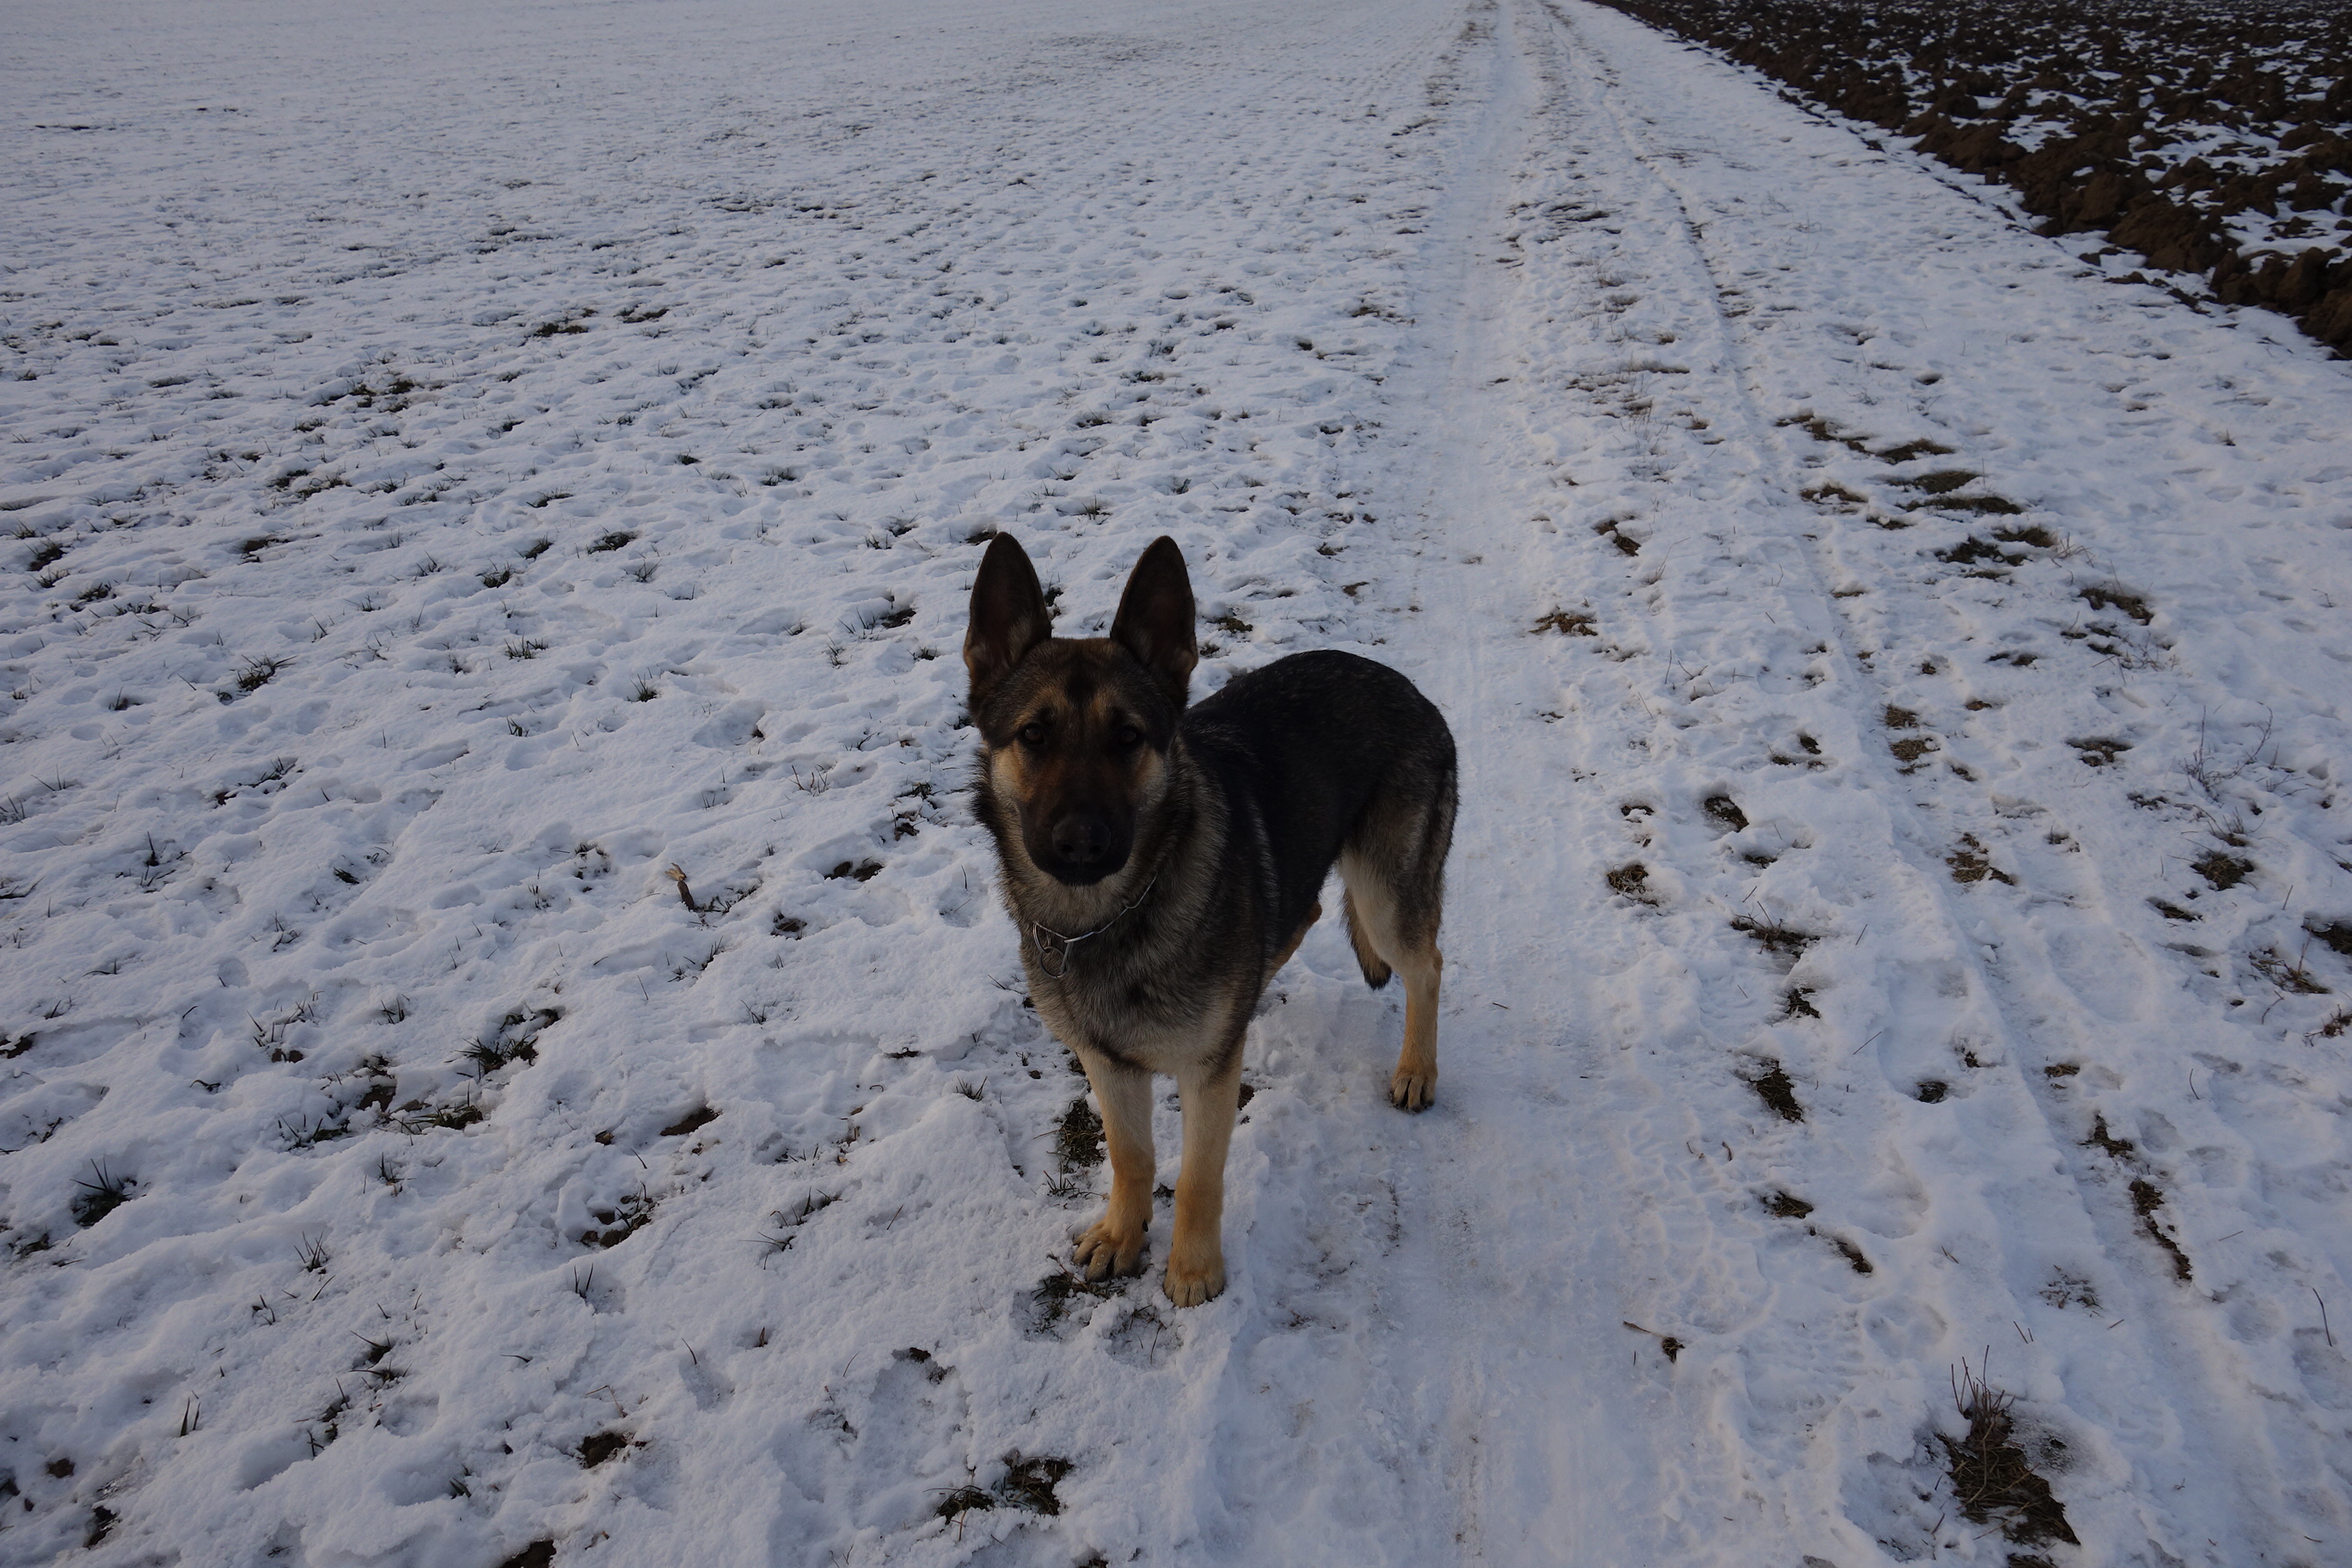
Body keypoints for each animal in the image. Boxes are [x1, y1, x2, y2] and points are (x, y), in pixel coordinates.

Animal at [965, 533, 1456, 1306]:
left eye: (1128, 737)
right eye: (1034, 735)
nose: (1081, 842)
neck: (1108, 919)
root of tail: (1406, 686)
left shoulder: (1207, 1076)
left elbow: (1197, 1176)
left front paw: (1193, 1269)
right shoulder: (1106, 1063)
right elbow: (1132, 1155)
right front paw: (1122, 1235)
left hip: (1384, 898)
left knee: (1427, 965)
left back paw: (1416, 1069)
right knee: (1304, 910)